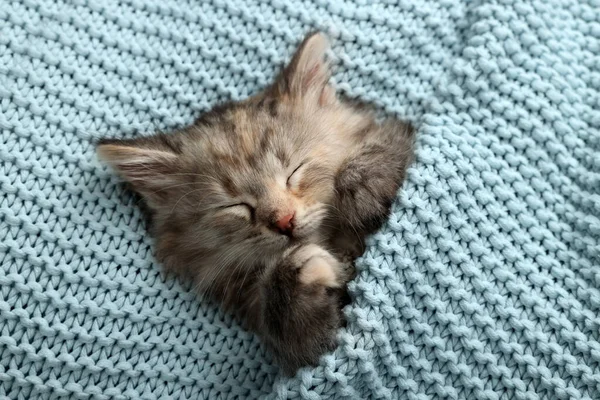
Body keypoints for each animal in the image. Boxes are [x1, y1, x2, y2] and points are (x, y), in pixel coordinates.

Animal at [97, 32, 412, 376]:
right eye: (236, 206)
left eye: (294, 172)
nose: (284, 221)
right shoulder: (312, 350)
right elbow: (306, 339)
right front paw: (293, 276)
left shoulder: (407, 134)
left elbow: (395, 146)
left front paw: (361, 184)